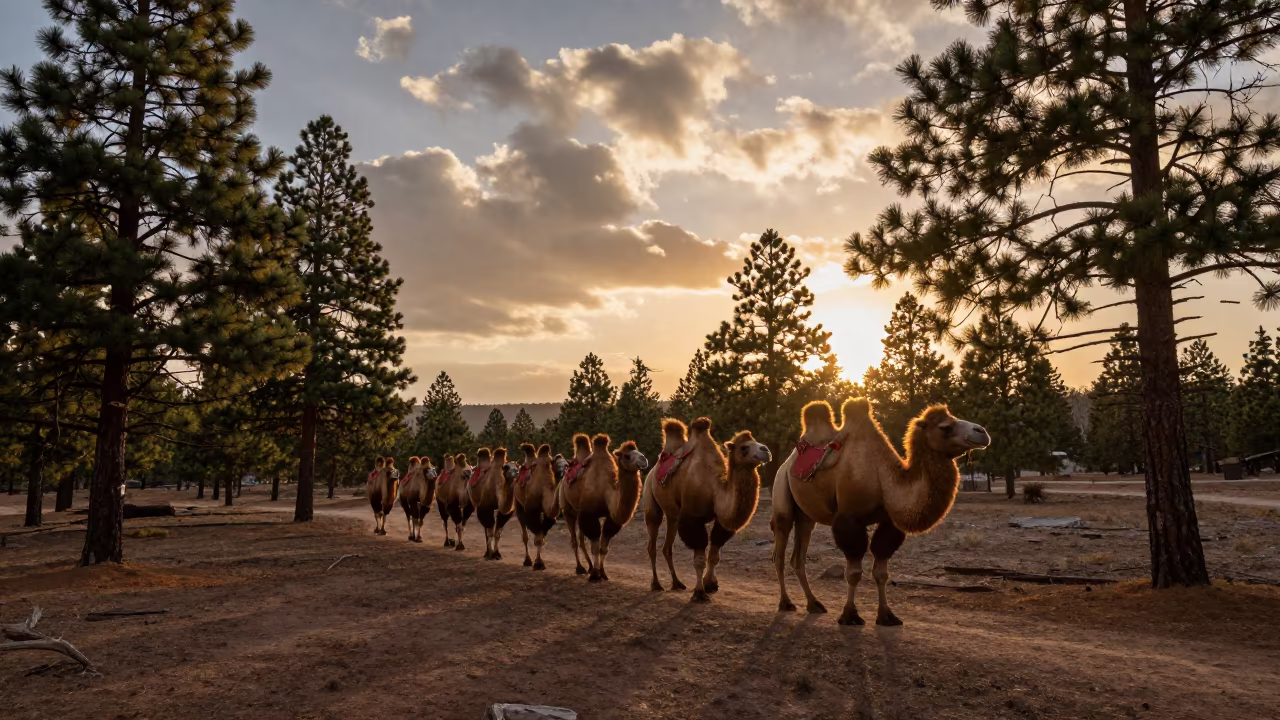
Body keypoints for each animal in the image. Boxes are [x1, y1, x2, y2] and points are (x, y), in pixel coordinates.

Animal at [559, 434, 646, 582]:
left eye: (639, 450)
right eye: (627, 456)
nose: (643, 459)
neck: (605, 490)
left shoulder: (611, 517)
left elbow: (603, 547)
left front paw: (603, 573)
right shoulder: (589, 513)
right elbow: (595, 546)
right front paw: (595, 575)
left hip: (578, 511)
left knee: (581, 540)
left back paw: (589, 566)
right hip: (567, 509)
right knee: (574, 540)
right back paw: (580, 568)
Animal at [643, 418, 771, 602]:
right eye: (744, 447)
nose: (765, 450)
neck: (714, 490)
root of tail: (653, 469)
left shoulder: (721, 520)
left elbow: (714, 555)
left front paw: (710, 584)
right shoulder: (692, 519)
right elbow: (699, 560)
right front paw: (699, 592)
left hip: (673, 516)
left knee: (667, 547)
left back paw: (677, 583)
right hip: (650, 499)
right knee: (652, 542)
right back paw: (656, 584)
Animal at [771, 399, 990, 626]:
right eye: (945, 427)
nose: (982, 432)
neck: (883, 480)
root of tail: (787, 462)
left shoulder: (889, 523)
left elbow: (881, 572)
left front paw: (887, 616)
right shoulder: (848, 520)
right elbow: (854, 572)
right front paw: (850, 615)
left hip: (806, 515)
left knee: (798, 556)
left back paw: (814, 605)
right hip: (781, 491)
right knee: (779, 552)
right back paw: (786, 603)